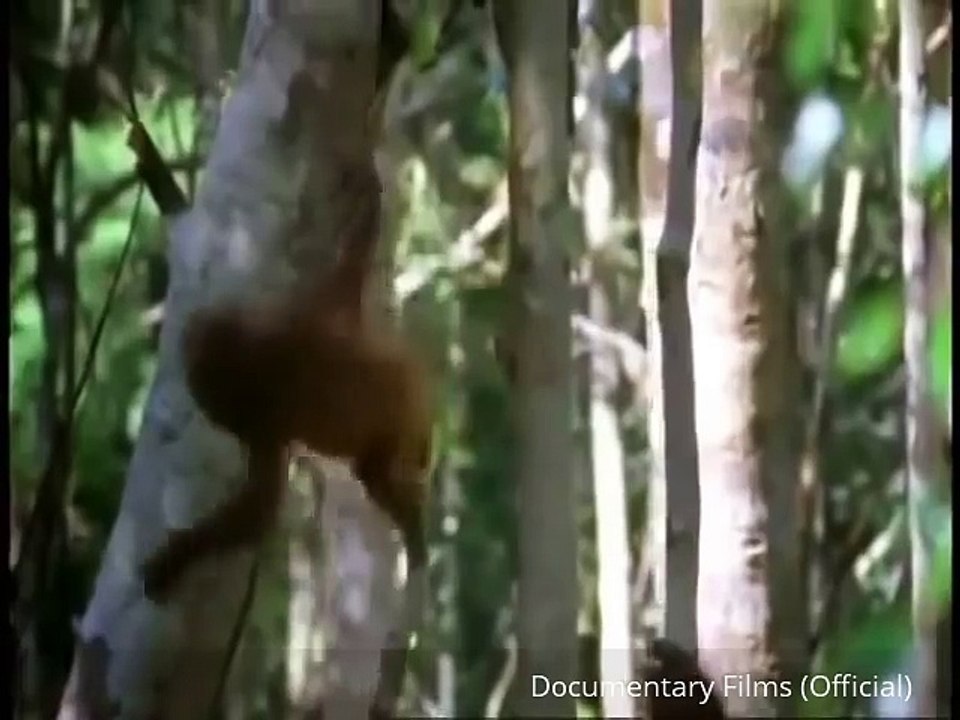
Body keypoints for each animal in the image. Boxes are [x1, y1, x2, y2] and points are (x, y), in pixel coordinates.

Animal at [140, 157, 433, 604]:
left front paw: (173, 560)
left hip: (399, 432)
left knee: (377, 474)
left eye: (216, 403)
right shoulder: (303, 313)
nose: (212, 413)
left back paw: (412, 527)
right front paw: (367, 195)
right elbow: (349, 270)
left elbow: (258, 509)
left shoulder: (262, 419)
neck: (258, 353)